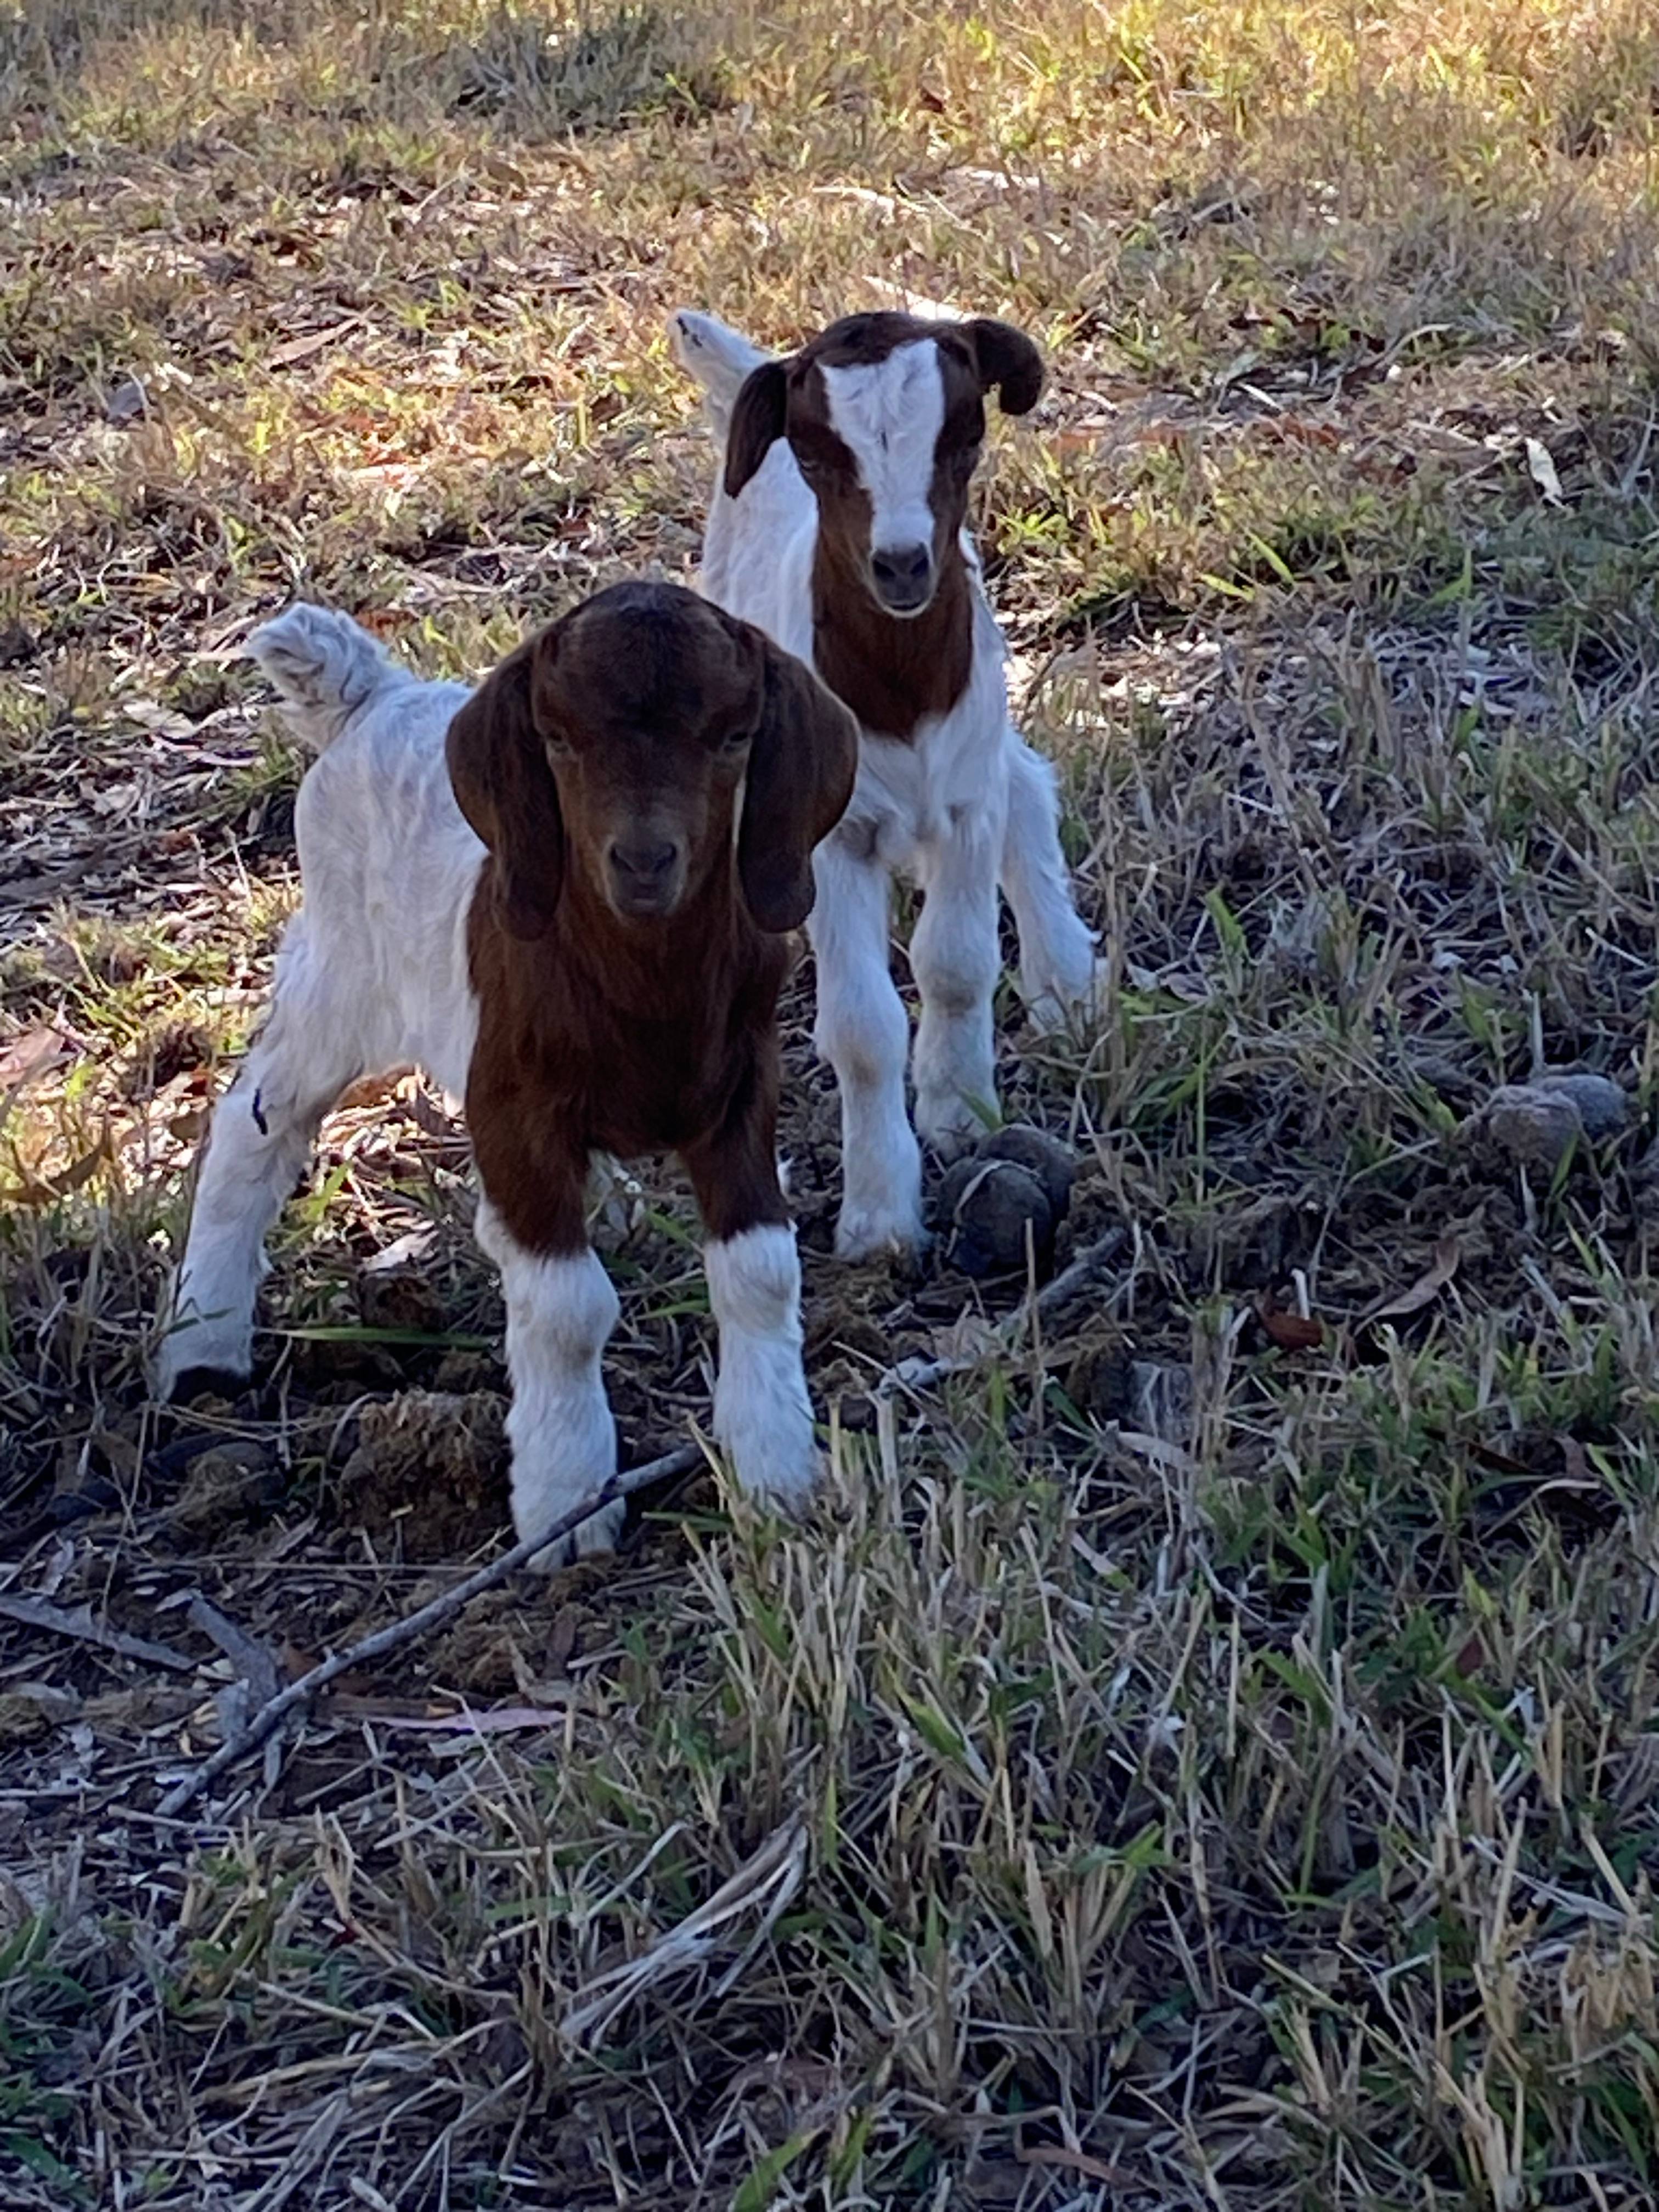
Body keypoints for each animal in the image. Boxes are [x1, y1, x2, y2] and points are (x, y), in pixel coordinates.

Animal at [155, 581, 858, 1562]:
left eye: (733, 737)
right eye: (557, 739)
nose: (644, 863)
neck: (645, 982)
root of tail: (372, 695)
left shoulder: (741, 1088)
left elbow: (761, 1271)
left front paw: (778, 1475)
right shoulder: (511, 1105)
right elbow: (564, 1306)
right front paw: (568, 1506)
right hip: (341, 971)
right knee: (256, 1123)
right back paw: (203, 1350)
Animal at [670, 306, 1099, 1261]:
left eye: (965, 438)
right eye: (818, 456)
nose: (901, 565)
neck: (900, 690)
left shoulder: (966, 802)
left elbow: (957, 964)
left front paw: (960, 1113)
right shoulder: (829, 838)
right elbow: (863, 1027)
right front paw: (878, 1217)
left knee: (1026, 783)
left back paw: (1068, 981)